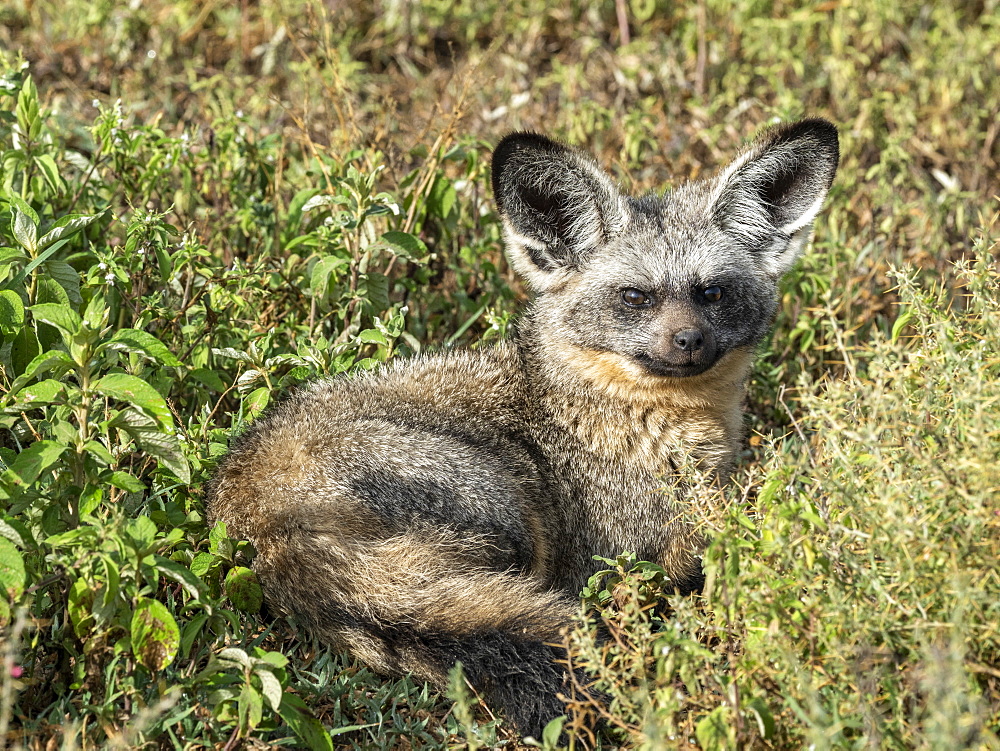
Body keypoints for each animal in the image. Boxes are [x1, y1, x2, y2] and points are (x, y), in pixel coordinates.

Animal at [207, 119, 840, 740]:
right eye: (635, 297)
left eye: (712, 292)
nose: (689, 341)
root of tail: (265, 521)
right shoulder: (626, 555)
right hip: (507, 506)